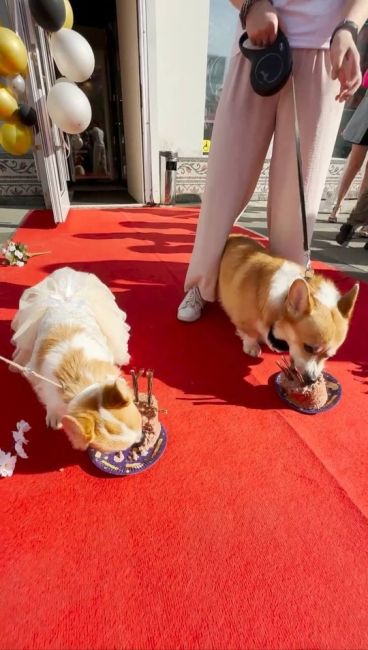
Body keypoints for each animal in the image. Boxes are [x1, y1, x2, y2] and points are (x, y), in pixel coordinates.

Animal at [10, 264, 142, 450]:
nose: (140, 441)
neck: (82, 382)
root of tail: (66, 297)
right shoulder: (42, 382)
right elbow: (51, 404)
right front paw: (54, 416)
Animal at [218, 235, 360, 382]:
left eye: (328, 356)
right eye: (308, 348)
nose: (312, 379)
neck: (284, 296)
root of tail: (234, 236)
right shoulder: (245, 319)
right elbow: (249, 333)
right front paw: (252, 346)